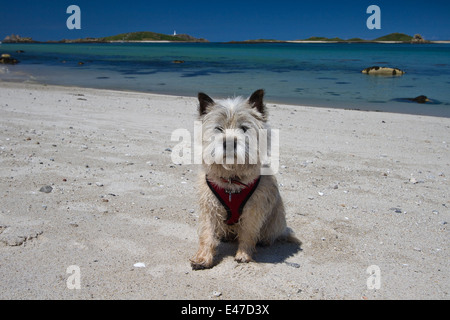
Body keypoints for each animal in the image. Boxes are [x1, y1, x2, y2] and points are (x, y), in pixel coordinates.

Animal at [190, 88, 298, 270]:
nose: (228, 143)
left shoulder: (253, 210)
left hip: (275, 219)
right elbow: (207, 233)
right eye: (218, 128)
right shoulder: (209, 208)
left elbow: (248, 233)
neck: (231, 180)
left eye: (244, 128)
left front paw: (244, 254)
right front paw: (203, 258)